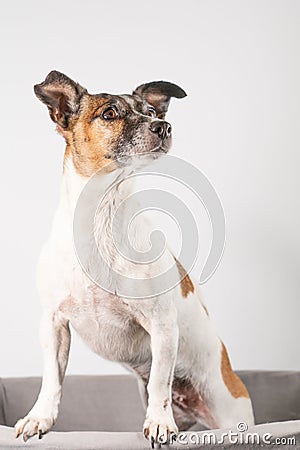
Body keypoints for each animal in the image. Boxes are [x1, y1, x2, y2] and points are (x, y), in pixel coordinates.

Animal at [14, 71, 253, 446]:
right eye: (109, 113)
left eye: (151, 111)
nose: (163, 126)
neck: (101, 216)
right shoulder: (54, 323)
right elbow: (52, 378)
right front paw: (40, 417)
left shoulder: (162, 327)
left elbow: (159, 383)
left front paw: (159, 422)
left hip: (231, 411)